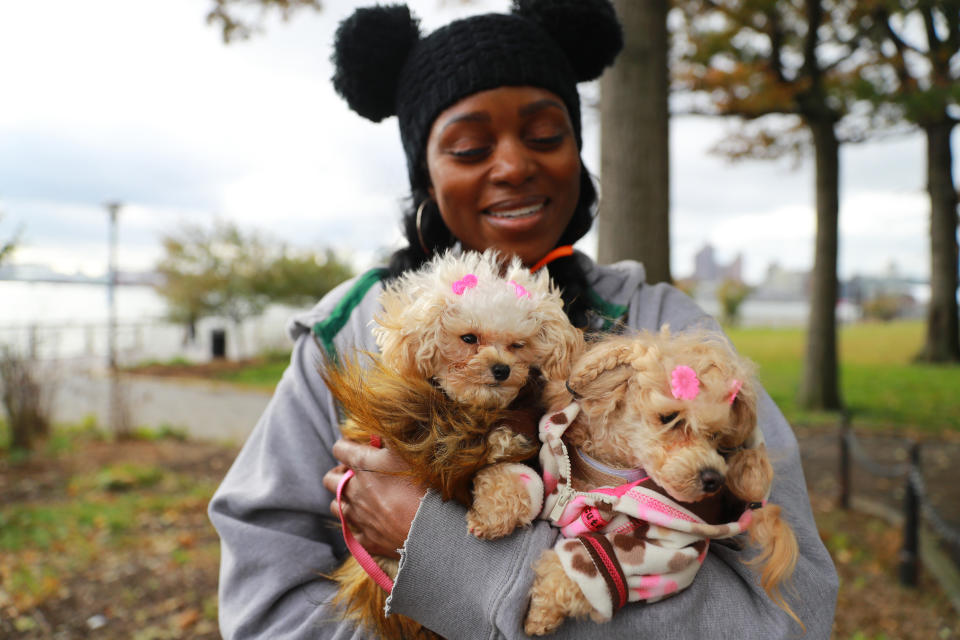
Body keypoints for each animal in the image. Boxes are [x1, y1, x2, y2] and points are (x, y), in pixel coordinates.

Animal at [322, 249, 580, 640]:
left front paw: (491, 515)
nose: (502, 369)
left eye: (517, 345)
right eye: (469, 338)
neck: (474, 410)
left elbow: (514, 480)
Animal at [520, 330, 800, 636]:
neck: (612, 471)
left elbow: (599, 562)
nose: (714, 478)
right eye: (668, 418)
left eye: (715, 435)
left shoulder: (669, 549)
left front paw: (541, 613)